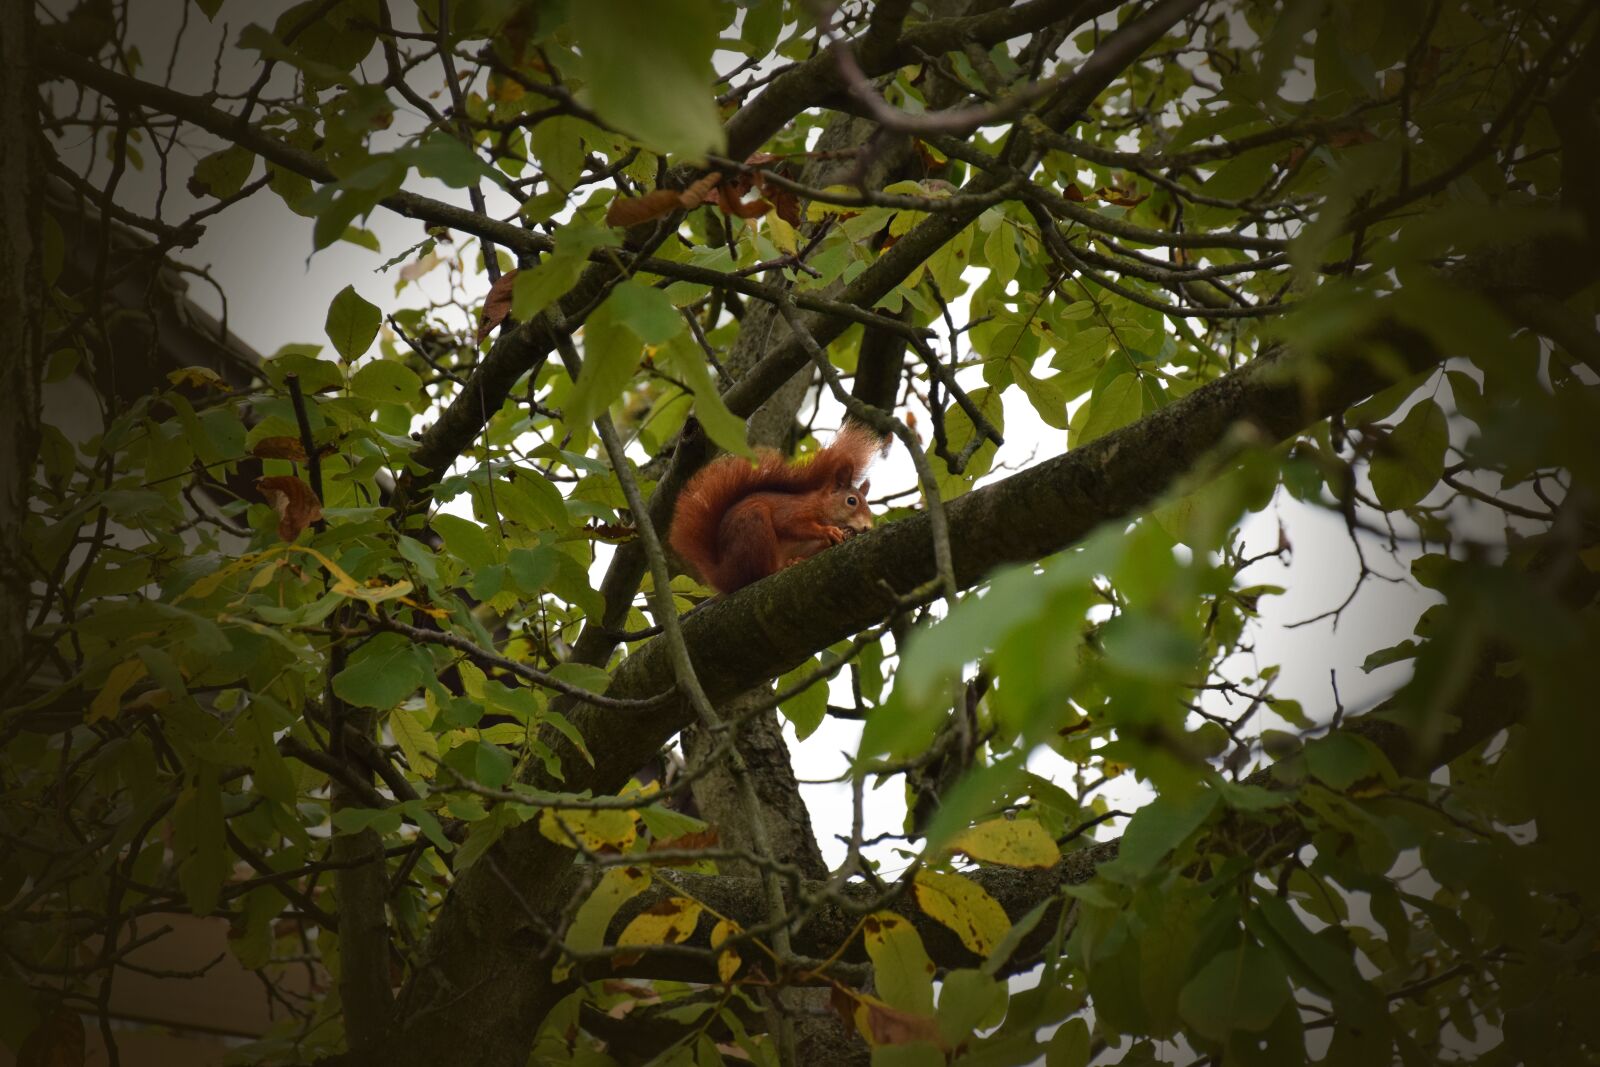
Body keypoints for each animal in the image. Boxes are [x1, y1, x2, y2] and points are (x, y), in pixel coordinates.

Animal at [669, 423, 885, 594]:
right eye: (851, 501)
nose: (867, 527)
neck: (821, 506)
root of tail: (724, 575)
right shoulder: (794, 509)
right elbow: (789, 524)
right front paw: (828, 531)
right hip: (754, 527)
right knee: (760, 573)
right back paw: (778, 568)